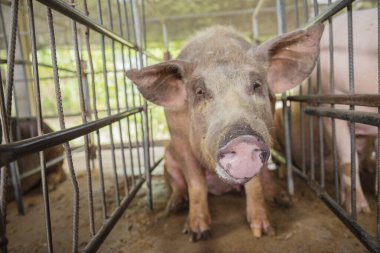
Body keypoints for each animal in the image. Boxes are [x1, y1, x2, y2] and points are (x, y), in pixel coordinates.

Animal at [126, 23, 322, 241]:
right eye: (200, 92)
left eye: (256, 85)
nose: (242, 137)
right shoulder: (178, 137)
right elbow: (195, 183)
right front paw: (197, 234)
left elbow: (254, 185)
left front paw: (263, 231)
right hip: (168, 158)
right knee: (177, 184)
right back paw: (174, 206)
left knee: (266, 179)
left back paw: (284, 199)